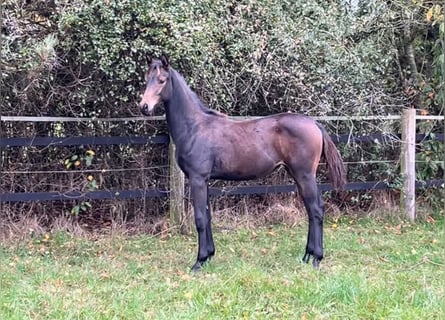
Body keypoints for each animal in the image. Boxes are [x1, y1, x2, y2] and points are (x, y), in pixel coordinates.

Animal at [139, 56, 344, 272]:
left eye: (161, 80)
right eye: (146, 79)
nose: (144, 107)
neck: (194, 127)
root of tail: (315, 124)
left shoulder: (197, 179)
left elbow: (200, 218)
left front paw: (199, 261)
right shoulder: (205, 180)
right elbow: (208, 216)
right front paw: (209, 255)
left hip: (305, 175)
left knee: (316, 210)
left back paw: (316, 259)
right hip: (297, 175)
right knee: (311, 211)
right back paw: (307, 256)